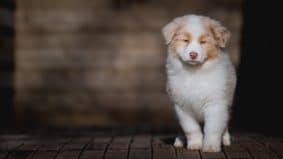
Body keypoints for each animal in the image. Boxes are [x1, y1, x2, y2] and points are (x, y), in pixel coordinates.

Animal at [162, 14, 237, 152]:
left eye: (203, 42)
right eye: (185, 40)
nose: (193, 54)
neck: (195, 72)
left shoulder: (215, 104)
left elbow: (212, 128)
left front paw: (211, 147)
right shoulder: (182, 106)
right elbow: (191, 128)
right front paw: (195, 144)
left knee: (225, 124)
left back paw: (225, 139)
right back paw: (179, 141)